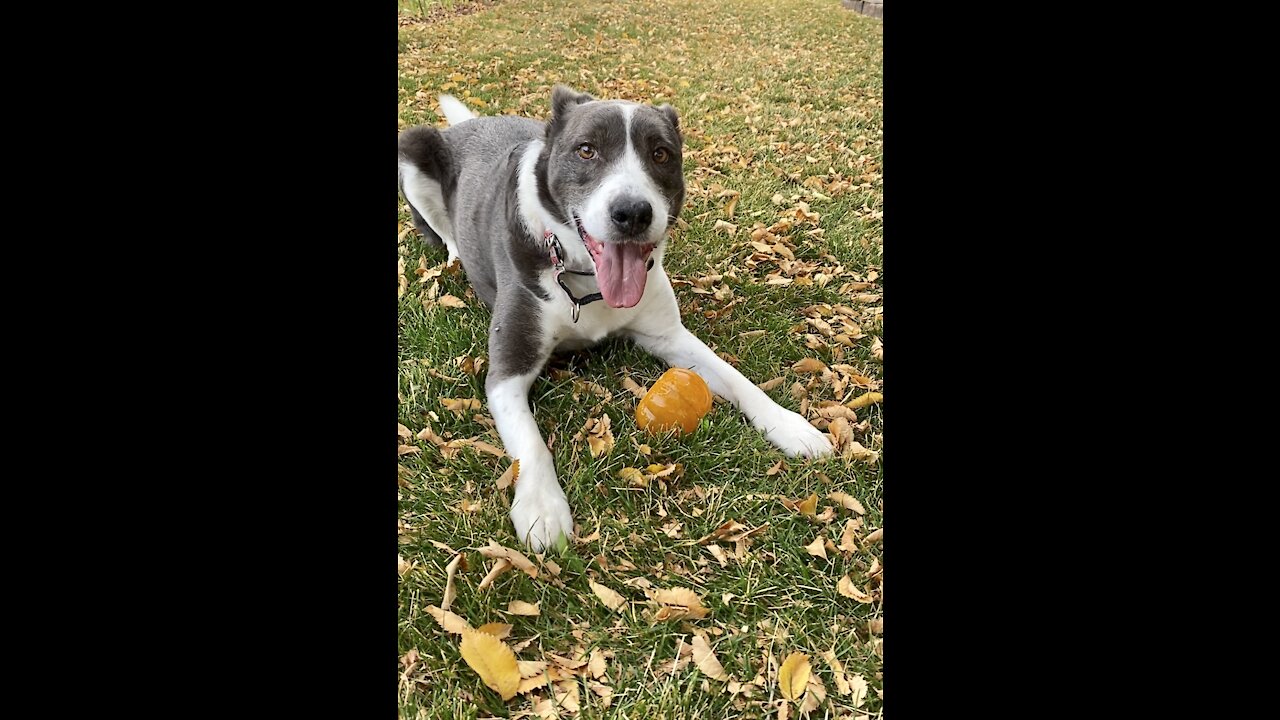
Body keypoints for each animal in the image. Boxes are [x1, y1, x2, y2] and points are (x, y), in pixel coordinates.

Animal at [399, 87, 839, 545]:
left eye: (661, 154)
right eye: (586, 150)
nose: (632, 213)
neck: (585, 277)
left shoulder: (671, 336)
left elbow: (736, 378)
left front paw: (791, 426)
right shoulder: (508, 371)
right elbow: (530, 441)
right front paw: (542, 506)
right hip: (413, 149)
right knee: (443, 230)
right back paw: (454, 257)